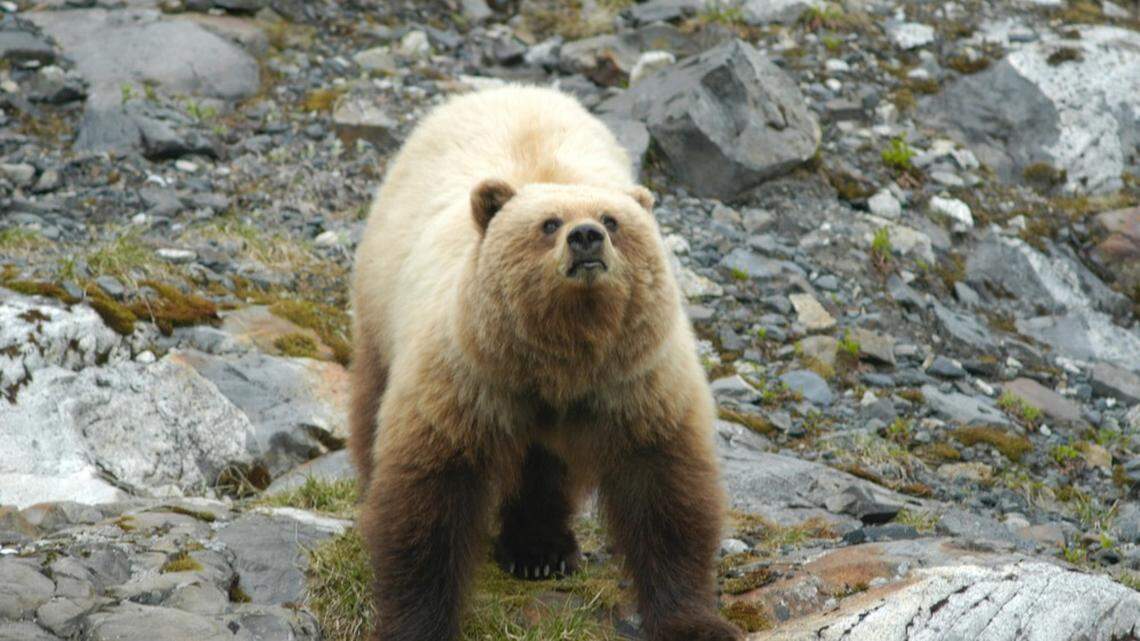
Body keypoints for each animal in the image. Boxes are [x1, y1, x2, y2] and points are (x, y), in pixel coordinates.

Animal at [348, 85, 741, 641]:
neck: (561, 356)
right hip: (381, 294)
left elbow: (665, 493)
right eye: (548, 224)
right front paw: (417, 623)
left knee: (543, 465)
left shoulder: (635, 383)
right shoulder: (467, 379)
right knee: (373, 398)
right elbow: (430, 499)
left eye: (613, 220)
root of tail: (507, 88)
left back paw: (542, 549)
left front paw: (696, 622)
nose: (586, 237)